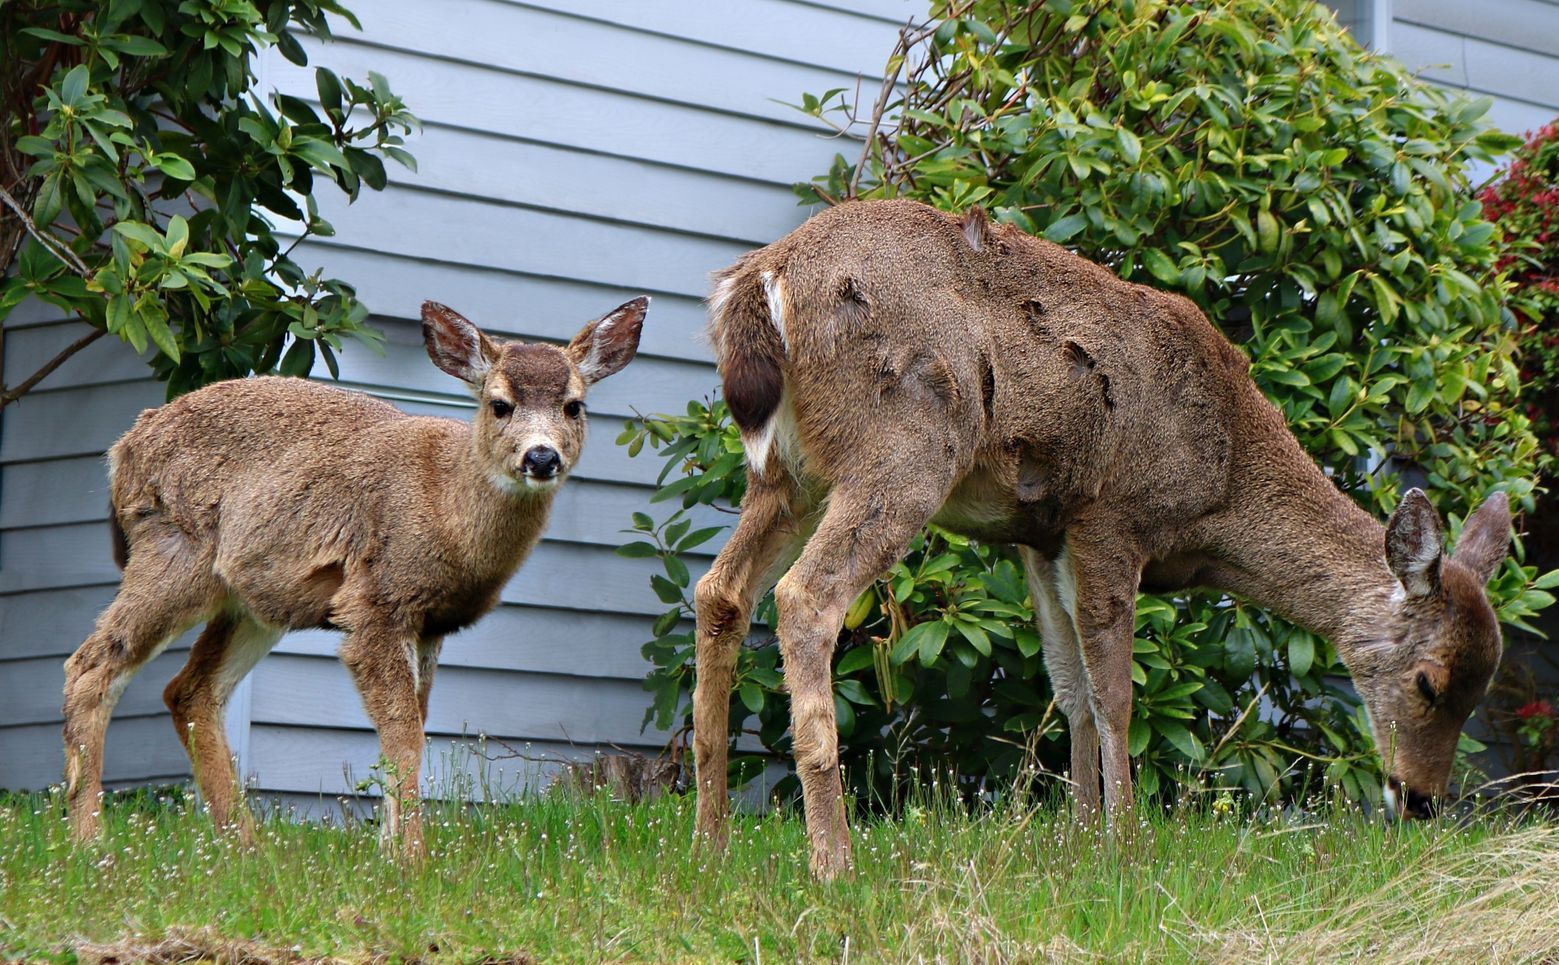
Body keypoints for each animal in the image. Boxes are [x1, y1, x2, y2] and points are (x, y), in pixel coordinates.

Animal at [60, 296, 645, 854]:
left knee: (189, 690)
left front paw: (389, 850)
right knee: (90, 665)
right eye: (499, 404)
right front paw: (410, 858)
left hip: (256, 599)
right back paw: (91, 840)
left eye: (574, 405)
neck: (448, 510)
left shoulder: (430, 624)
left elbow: (410, 727)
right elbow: (404, 737)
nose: (541, 457)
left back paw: (246, 846)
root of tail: (125, 446)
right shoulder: (377, 601)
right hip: (173, 550)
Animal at [692, 199, 1509, 879]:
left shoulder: (1040, 533)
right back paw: (833, 861)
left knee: (719, 592)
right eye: (1429, 681)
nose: (1421, 800)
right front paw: (1124, 842)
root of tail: (761, 279)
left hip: (787, 472)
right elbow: (1116, 692)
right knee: (807, 596)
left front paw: (1079, 836)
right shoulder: (1113, 516)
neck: (1224, 481)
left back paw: (711, 843)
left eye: (1481, 691)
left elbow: (1070, 685)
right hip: (904, 440)